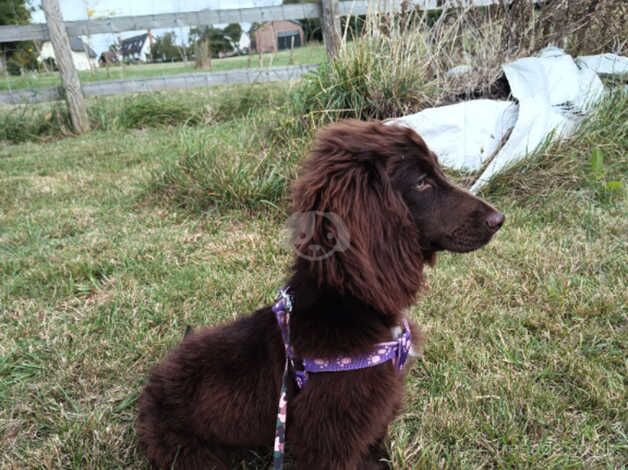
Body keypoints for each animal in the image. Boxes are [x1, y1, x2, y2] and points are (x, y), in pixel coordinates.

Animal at [135, 121, 502, 470]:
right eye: (423, 183)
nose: (499, 219)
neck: (349, 303)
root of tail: (154, 381)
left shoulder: (374, 422)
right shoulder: (330, 441)